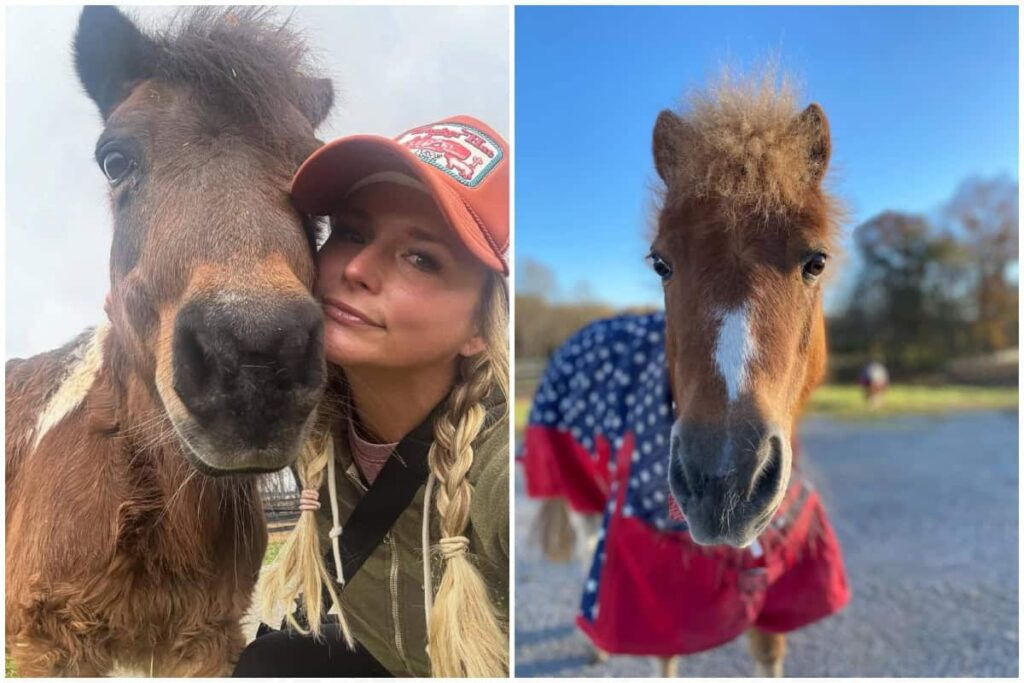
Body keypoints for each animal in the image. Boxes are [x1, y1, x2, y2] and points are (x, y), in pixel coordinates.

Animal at [522, 71, 849, 676]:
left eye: (815, 260)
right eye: (662, 262)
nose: (724, 480)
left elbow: (768, 653)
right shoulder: (653, 587)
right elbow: (665, 653)